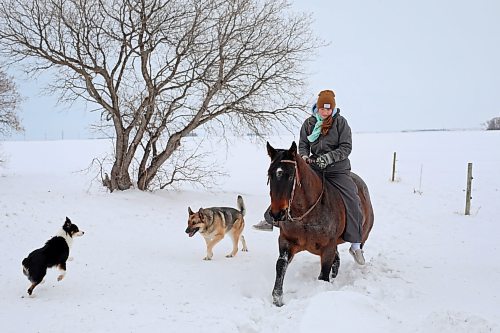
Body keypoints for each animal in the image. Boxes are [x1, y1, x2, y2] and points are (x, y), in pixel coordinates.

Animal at [268, 140, 374, 306]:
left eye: (290, 176)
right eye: (270, 174)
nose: (277, 213)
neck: (306, 215)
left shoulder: (328, 247)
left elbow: (323, 275)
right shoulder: (286, 241)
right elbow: (281, 265)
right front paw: (278, 297)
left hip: (363, 232)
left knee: (357, 245)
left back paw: (357, 254)